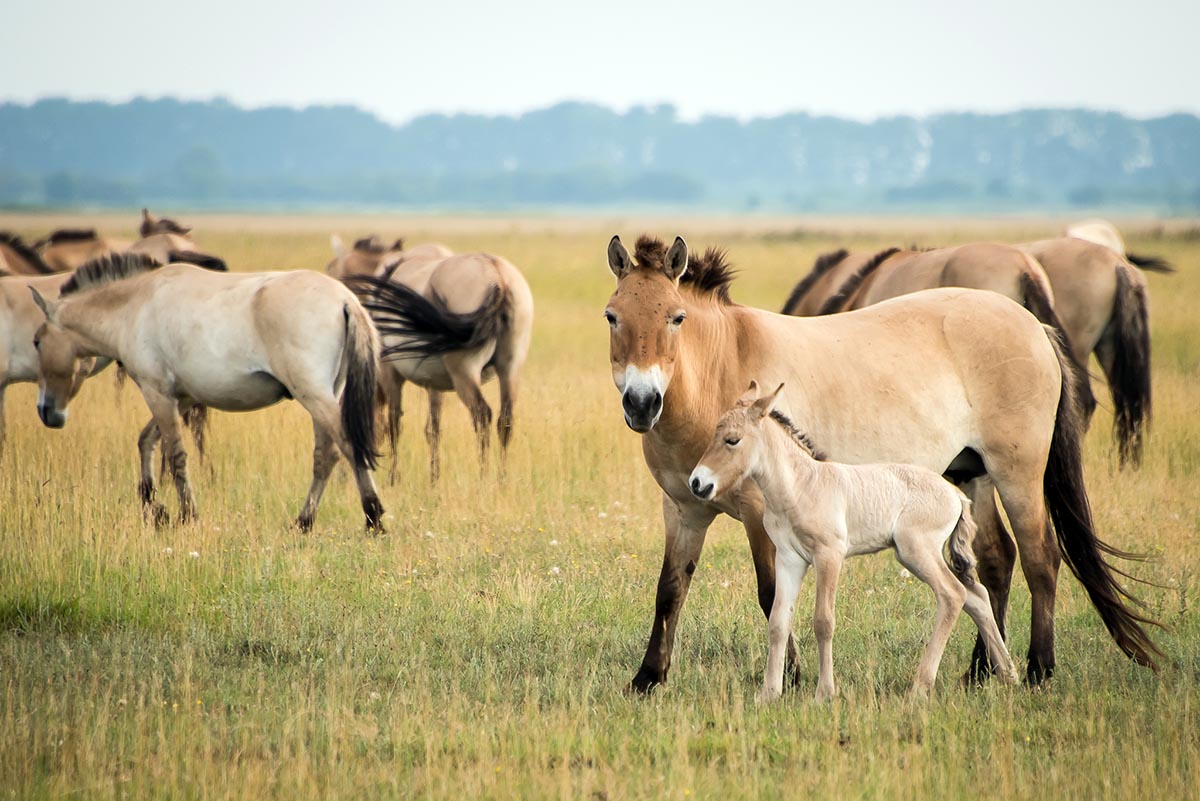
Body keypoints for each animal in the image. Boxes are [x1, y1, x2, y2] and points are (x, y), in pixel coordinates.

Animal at [29, 253, 384, 532]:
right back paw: (304, 522)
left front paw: (186, 515)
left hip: (313, 395)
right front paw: (153, 506)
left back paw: (373, 517)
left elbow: (175, 454)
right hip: (324, 395)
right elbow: (147, 441)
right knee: (326, 455)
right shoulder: (182, 397)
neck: (135, 305)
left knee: (347, 445)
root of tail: (344, 298)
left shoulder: (157, 393)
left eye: (36, 341)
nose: (47, 412)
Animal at [691, 381, 1017, 700]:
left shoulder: (829, 555)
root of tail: (956, 496)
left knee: (953, 595)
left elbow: (823, 621)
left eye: (732, 440)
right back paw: (1008, 674)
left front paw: (824, 693)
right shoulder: (788, 558)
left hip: (916, 551)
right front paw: (769, 694)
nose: (697, 483)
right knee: (976, 596)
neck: (800, 486)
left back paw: (920, 686)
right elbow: (778, 622)